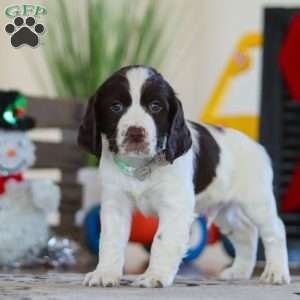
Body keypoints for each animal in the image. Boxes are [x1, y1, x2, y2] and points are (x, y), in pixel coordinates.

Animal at [78, 66, 290, 288]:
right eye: (116, 107)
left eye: (155, 106)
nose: (136, 133)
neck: (140, 166)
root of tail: (257, 146)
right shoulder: (115, 204)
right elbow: (110, 240)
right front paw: (105, 273)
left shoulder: (175, 206)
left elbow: (162, 240)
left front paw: (154, 276)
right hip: (224, 209)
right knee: (246, 232)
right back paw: (239, 271)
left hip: (257, 201)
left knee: (275, 230)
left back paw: (276, 272)